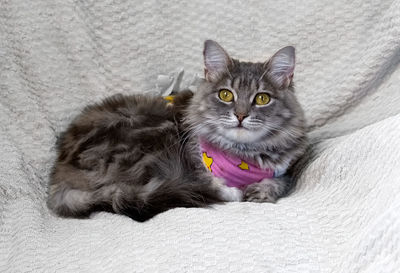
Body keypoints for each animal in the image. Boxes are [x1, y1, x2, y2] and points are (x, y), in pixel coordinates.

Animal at [48, 39, 308, 220]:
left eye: (262, 98)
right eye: (226, 95)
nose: (241, 115)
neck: (243, 154)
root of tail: (59, 173)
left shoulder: (284, 170)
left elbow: (279, 181)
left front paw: (262, 191)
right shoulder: (194, 166)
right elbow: (218, 187)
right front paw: (239, 192)